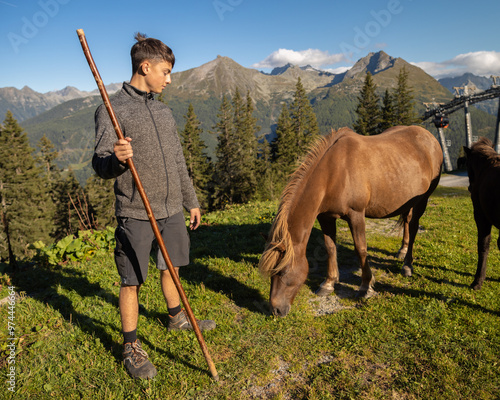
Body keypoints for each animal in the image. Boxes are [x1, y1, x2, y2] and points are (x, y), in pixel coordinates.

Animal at [258, 125, 442, 316]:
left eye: (283, 271)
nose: (275, 310)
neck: (334, 173)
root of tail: (429, 137)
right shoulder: (325, 217)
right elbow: (330, 248)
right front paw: (328, 283)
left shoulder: (356, 215)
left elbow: (361, 249)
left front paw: (366, 287)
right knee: (407, 221)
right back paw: (402, 250)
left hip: (422, 200)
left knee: (413, 227)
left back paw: (407, 265)